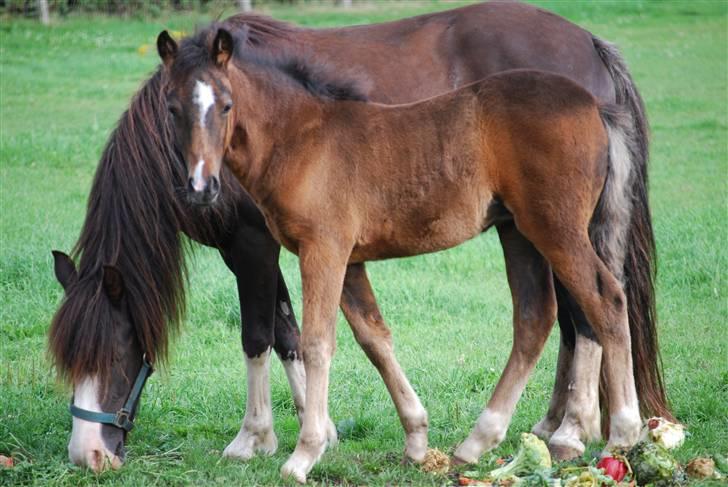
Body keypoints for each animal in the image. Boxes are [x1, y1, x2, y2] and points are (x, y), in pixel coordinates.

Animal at [48, 0, 668, 472]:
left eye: (119, 351)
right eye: (173, 108)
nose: (88, 455)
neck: (302, 135)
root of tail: (593, 95)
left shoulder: (296, 249)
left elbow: (293, 339)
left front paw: (285, 448)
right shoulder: (342, 258)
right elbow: (364, 337)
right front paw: (407, 439)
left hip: (557, 229)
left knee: (601, 304)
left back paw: (606, 433)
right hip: (521, 233)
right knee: (540, 318)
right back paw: (487, 440)